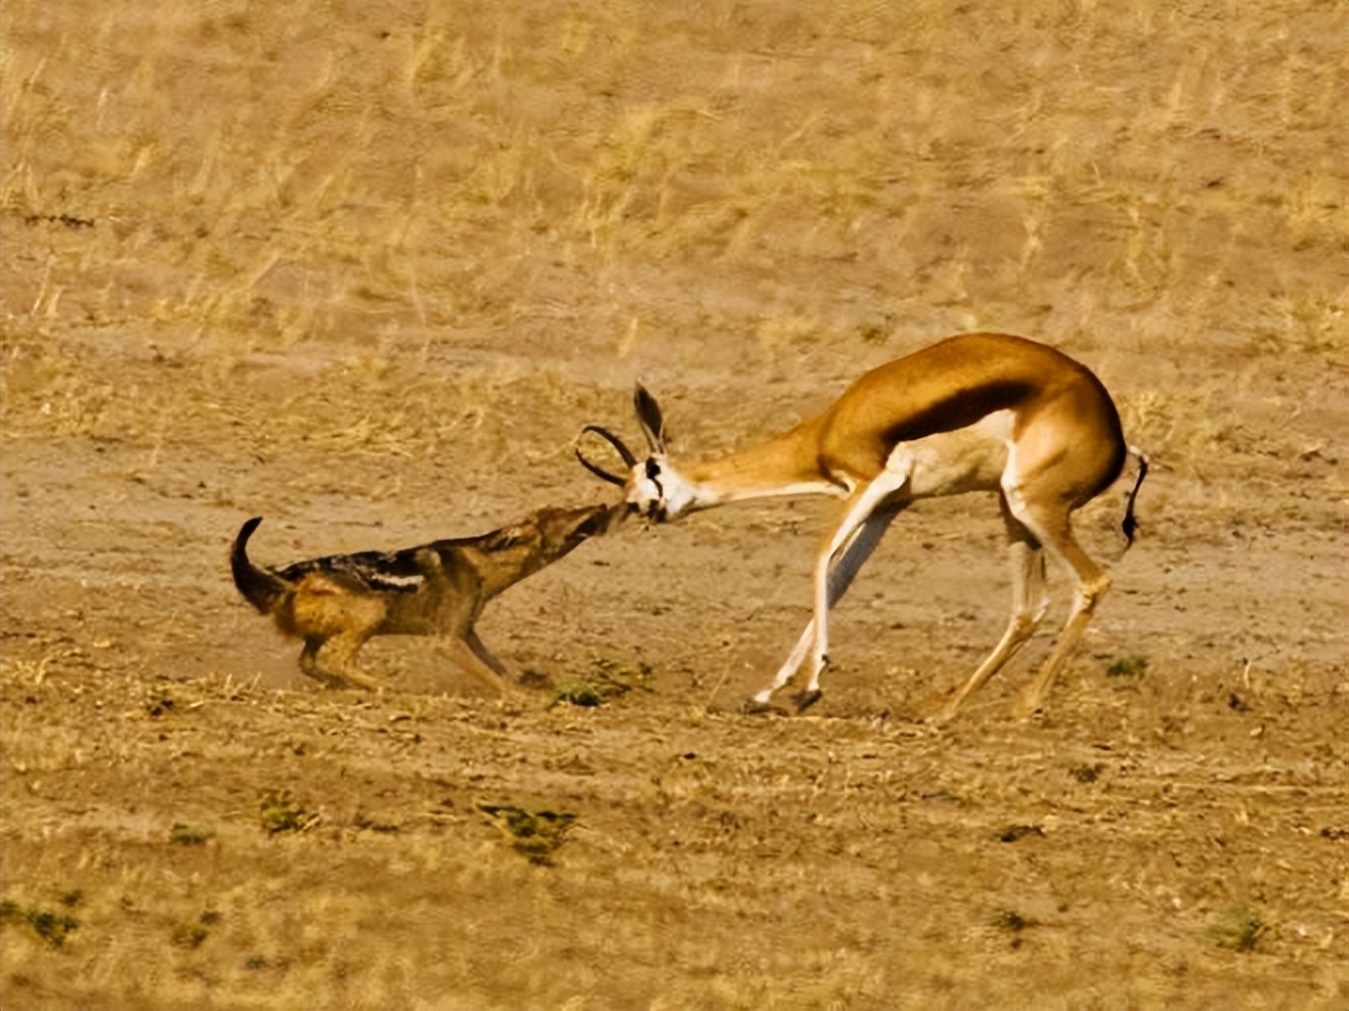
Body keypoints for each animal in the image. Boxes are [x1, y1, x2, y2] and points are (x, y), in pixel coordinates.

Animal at [233, 502, 625, 691]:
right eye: (563, 514)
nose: (602, 504)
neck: (483, 564)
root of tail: (286, 577)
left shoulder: (468, 632)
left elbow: (496, 666)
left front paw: (524, 685)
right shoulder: (446, 641)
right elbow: (492, 678)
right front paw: (524, 699)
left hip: (323, 632)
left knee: (310, 663)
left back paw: (344, 687)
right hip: (372, 612)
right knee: (338, 660)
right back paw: (383, 687)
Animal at [580, 330, 1149, 718]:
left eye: (647, 481)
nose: (648, 515)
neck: (828, 431)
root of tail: (1117, 436)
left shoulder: (870, 482)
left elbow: (819, 560)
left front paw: (809, 688)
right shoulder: (888, 505)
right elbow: (839, 579)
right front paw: (766, 692)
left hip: (1032, 506)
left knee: (1093, 582)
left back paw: (1024, 705)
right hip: (1012, 512)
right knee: (1028, 607)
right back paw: (945, 709)